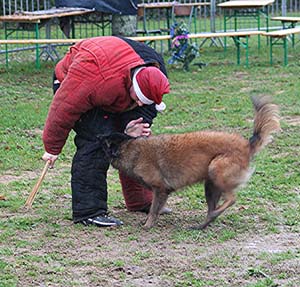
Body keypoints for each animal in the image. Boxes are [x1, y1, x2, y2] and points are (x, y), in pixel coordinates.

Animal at [104, 97, 280, 230]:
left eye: (102, 140)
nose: (98, 134)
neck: (130, 149)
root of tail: (247, 145)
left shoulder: (160, 189)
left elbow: (154, 209)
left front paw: (147, 225)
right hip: (210, 186)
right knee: (213, 209)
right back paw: (203, 224)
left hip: (216, 169)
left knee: (232, 199)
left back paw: (213, 215)